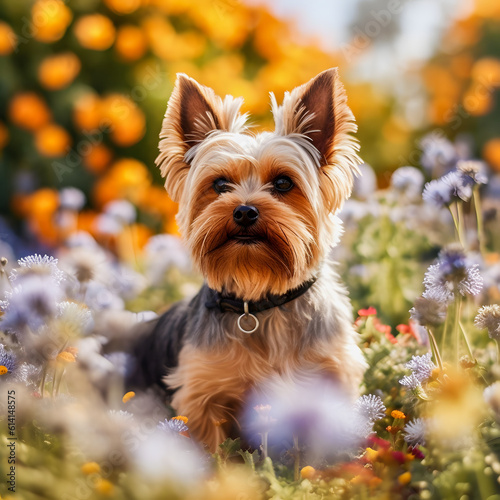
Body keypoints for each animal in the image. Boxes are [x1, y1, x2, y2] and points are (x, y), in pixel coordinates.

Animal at [129, 67, 368, 454]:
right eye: (219, 184)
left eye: (284, 182)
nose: (243, 211)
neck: (261, 301)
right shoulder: (201, 394)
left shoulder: (333, 375)